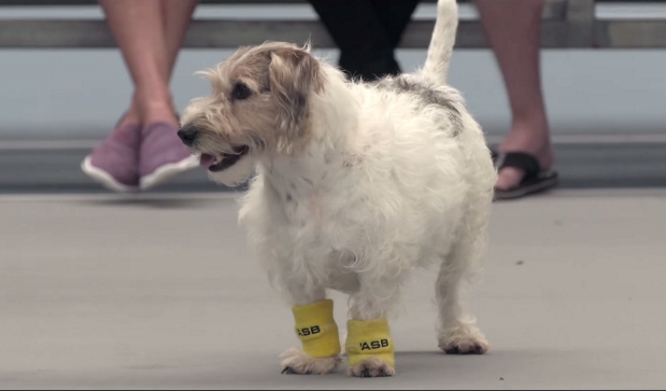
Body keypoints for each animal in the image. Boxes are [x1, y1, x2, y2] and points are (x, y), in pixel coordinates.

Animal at [179, 0, 496, 380]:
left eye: (241, 90)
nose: (184, 133)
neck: (309, 176)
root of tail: (430, 83)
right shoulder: (294, 261)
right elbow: (312, 316)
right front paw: (315, 359)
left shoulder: (379, 259)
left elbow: (367, 310)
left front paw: (371, 359)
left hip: (465, 235)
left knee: (452, 288)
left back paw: (459, 334)